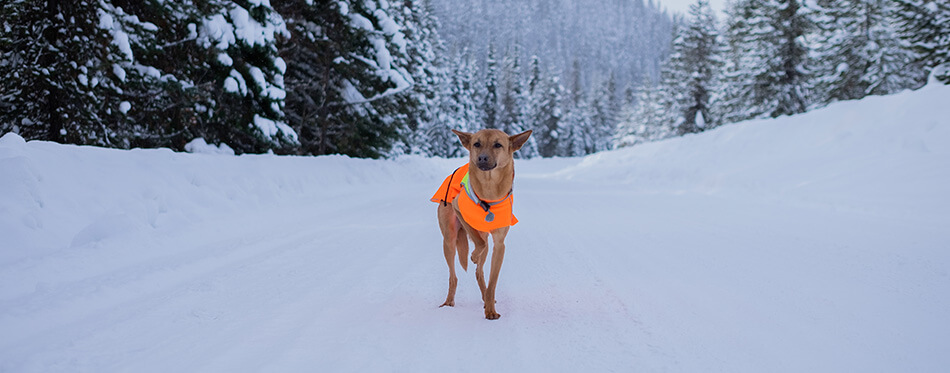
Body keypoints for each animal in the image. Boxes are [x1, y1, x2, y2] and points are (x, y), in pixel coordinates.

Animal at [434, 127, 536, 316]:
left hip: (487, 246)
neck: (489, 189)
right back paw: (448, 301)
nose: (481, 158)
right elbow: (477, 242)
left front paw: (490, 310)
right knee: (453, 276)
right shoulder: (459, 210)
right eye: (477, 144)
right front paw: (473, 255)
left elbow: (492, 282)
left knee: (479, 272)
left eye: (498, 145)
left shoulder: (499, 245)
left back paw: (484, 296)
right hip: (449, 239)